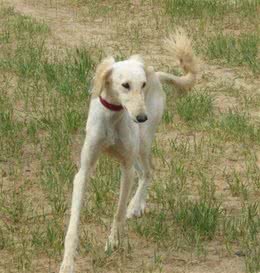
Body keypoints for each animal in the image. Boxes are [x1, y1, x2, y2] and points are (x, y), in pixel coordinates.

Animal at [59, 29, 197, 272]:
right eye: (125, 85)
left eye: (142, 85)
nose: (141, 117)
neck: (113, 116)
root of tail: (155, 73)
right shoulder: (84, 170)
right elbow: (73, 223)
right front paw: (67, 262)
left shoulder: (126, 169)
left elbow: (118, 211)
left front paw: (113, 242)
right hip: (136, 152)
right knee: (143, 172)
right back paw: (137, 204)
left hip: (143, 143)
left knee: (149, 172)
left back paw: (136, 205)